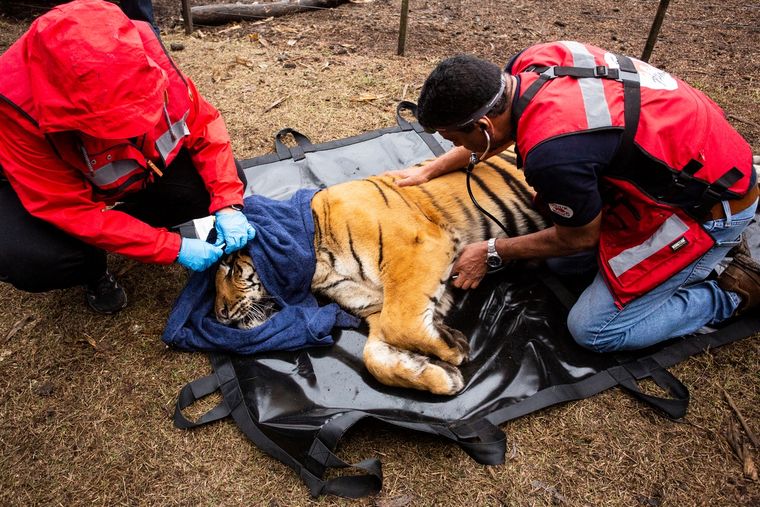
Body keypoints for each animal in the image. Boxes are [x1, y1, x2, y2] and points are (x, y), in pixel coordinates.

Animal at [215, 150, 548, 395]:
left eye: (229, 267)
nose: (219, 314)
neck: (319, 266)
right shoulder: (373, 305)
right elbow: (375, 354)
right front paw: (438, 372)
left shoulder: (420, 246)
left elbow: (400, 323)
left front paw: (452, 348)